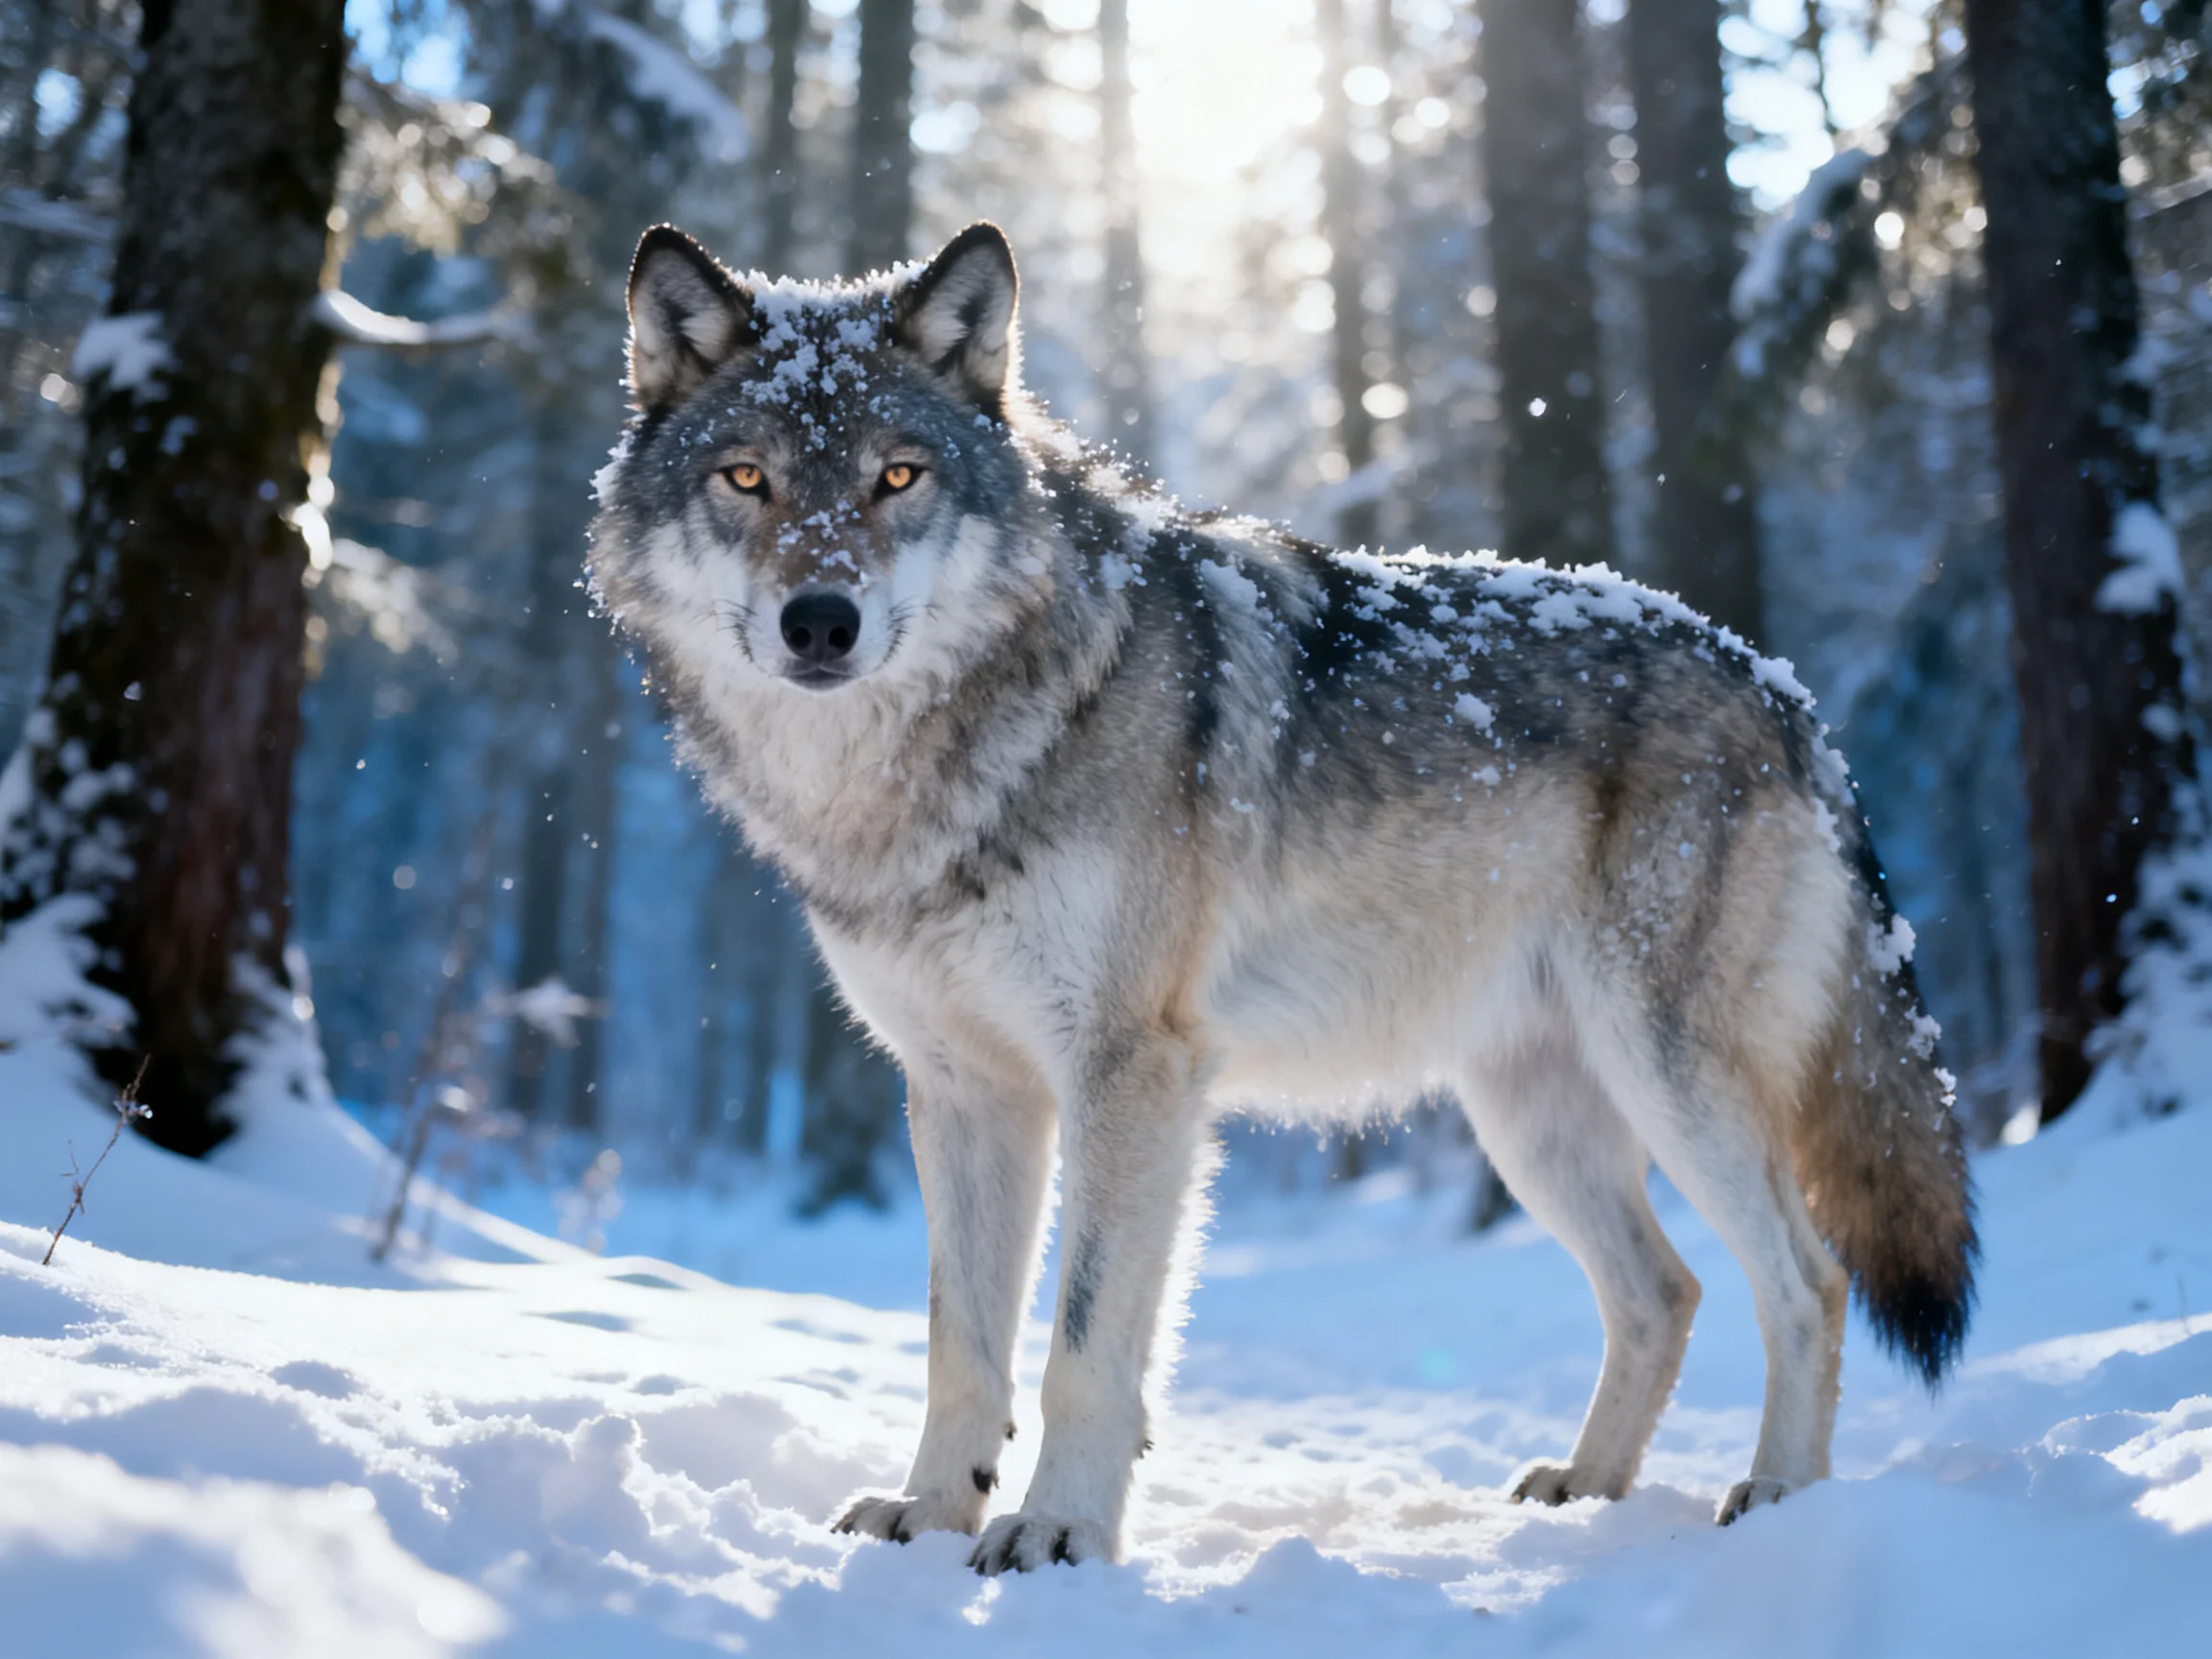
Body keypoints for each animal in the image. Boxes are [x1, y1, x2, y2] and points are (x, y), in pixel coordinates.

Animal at [588, 220, 1977, 1573]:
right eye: (748, 480)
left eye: (896, 478)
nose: (820, 622)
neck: (941, 769)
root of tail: (1781, 687)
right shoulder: (963, 1090)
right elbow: (961, 1344)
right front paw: (932, 1517)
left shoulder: (1129, 1072)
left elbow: (1083, 1342)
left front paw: (1057, 1532)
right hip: (1532, 1120)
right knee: (1663, 1292)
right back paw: (1582, 1493)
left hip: (1665, 1077)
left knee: (1808, 1280)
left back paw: (1780, 1499)